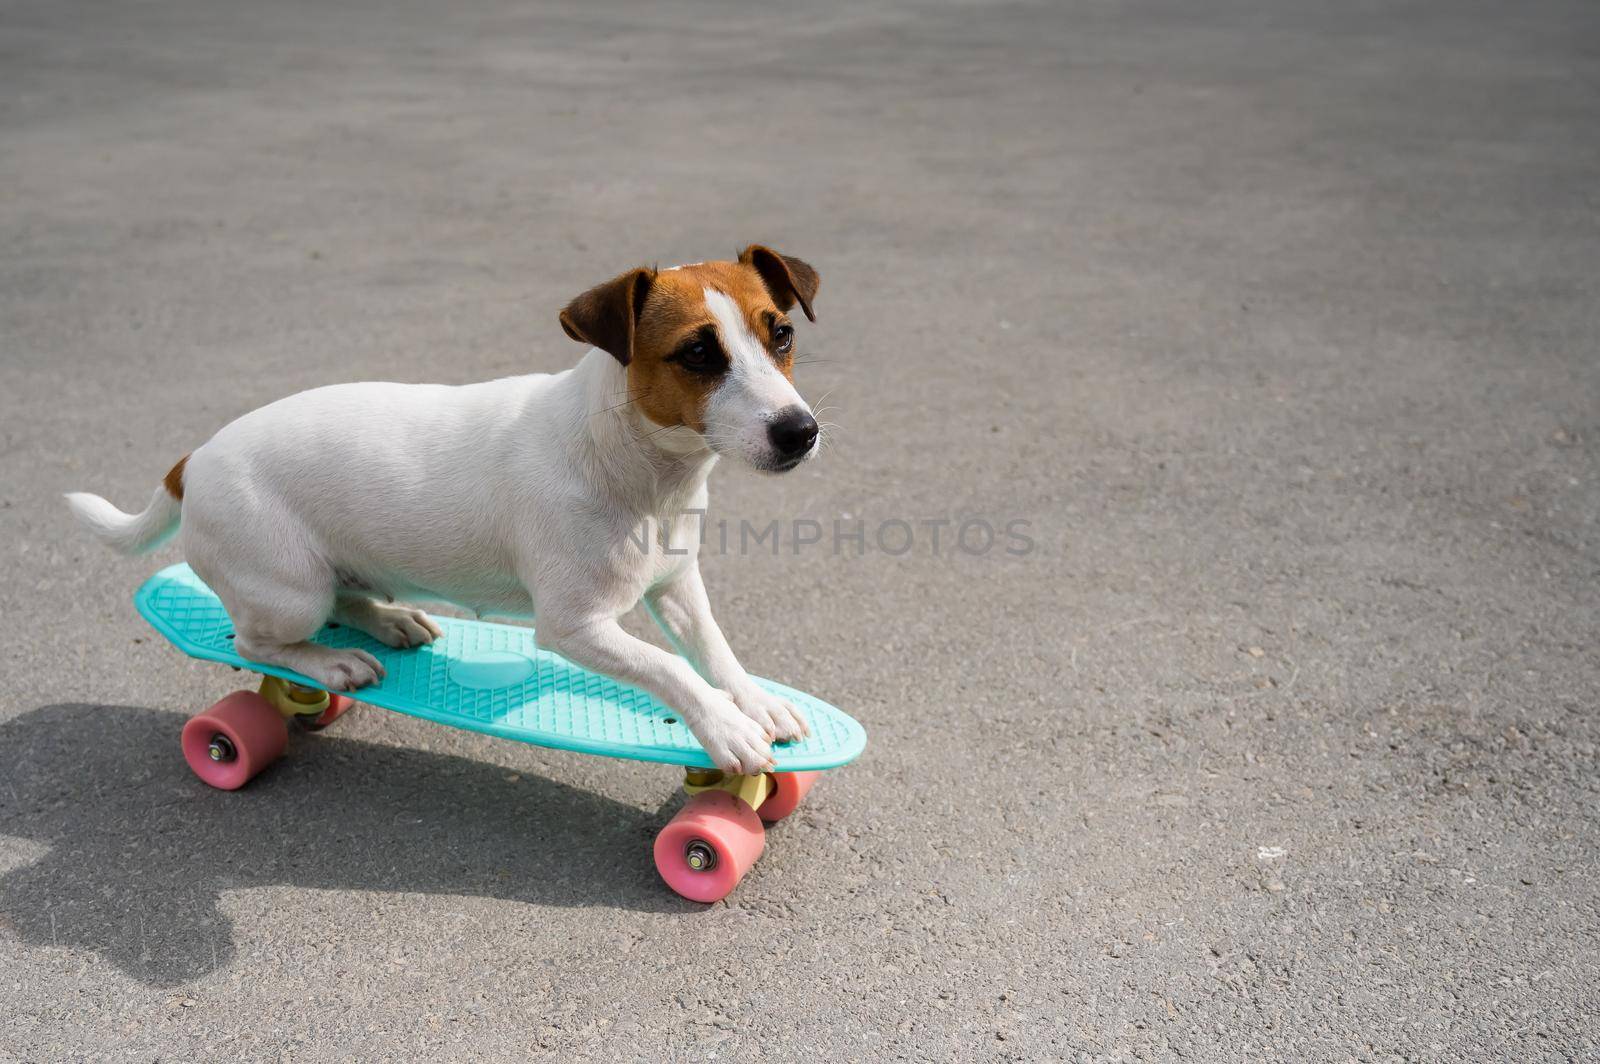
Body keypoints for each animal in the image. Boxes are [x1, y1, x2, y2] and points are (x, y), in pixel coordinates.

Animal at [70, 243, 825, 771]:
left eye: (782, 334)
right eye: (697, 352)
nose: (800, 432)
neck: (639, 465)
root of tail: (193, 458)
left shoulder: (676, 586)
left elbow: (713, 650)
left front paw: (755, 701)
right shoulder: (573, 626)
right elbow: (671, 667)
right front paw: (724, 726)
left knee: (345, 599)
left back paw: (391, 620)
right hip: (290, 591)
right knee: (257, 642)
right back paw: (329, 662)